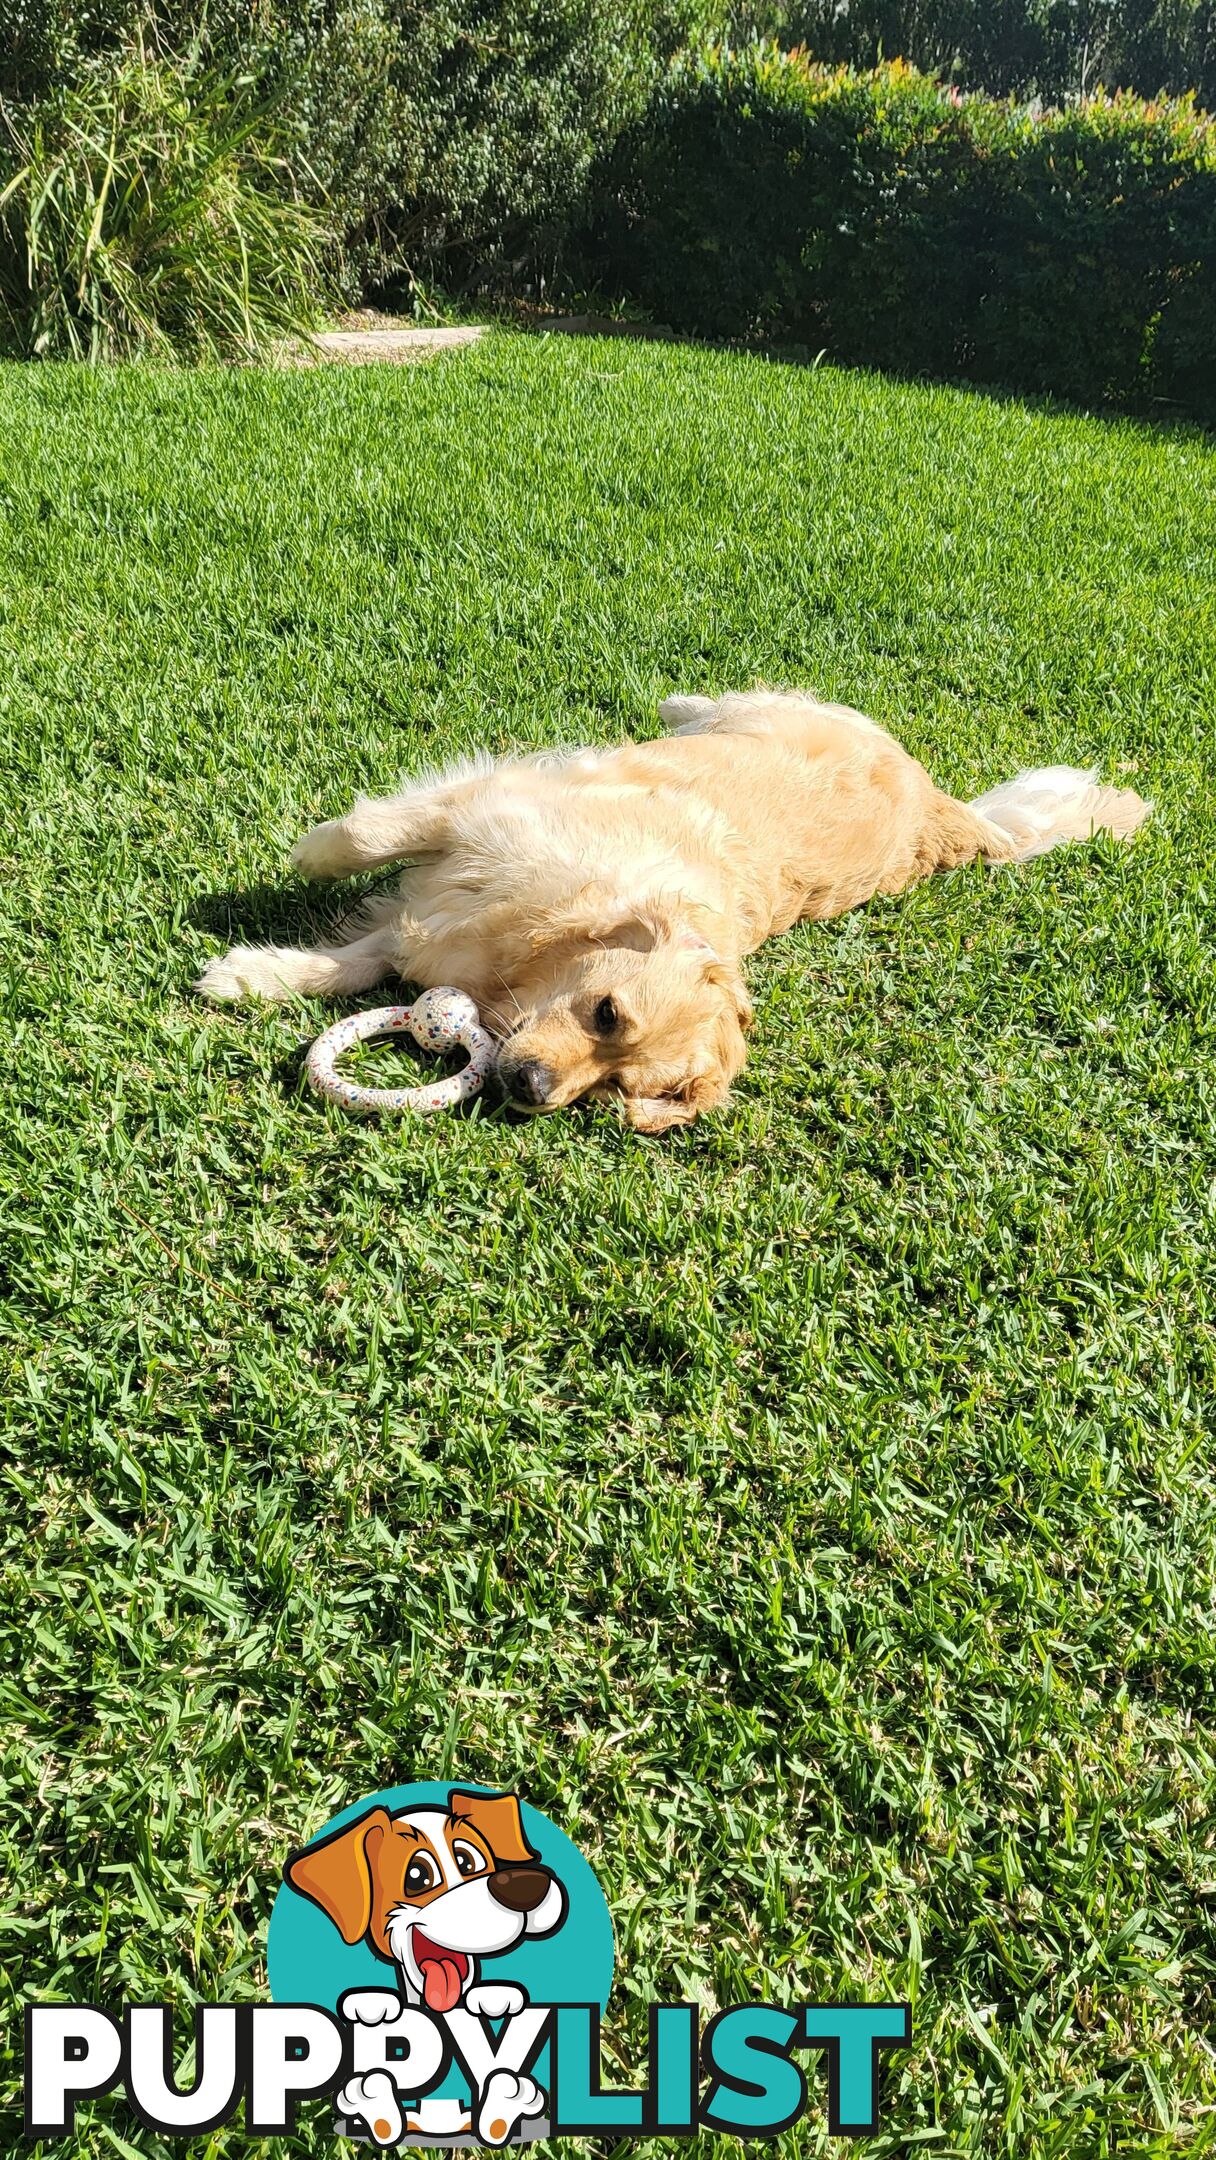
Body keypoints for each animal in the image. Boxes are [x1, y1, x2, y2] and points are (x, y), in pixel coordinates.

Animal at [197, 691, 1149, 1131]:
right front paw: (293, 880)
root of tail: (939, 809)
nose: (530, 1092)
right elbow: (363, 840)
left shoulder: (448, 912)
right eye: (606, 1011)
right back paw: (678, 704)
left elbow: (362, 953)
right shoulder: (479, 819)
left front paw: (254, 973)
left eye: (619, 1086)